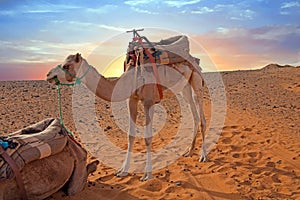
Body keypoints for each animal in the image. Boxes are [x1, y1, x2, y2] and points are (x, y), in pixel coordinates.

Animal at [47, 50, 206, 180]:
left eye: (66, 66)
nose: (49, 75)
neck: (128, 80)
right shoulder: (132, 100)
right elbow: (130, 135)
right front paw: (123, 171)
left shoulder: (149, 101)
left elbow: (147, 137)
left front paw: (147, 174)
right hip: (185, 87)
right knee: (195, 116)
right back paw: (189, 151)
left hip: (196, 81)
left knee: (202, 117)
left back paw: (203, 156)